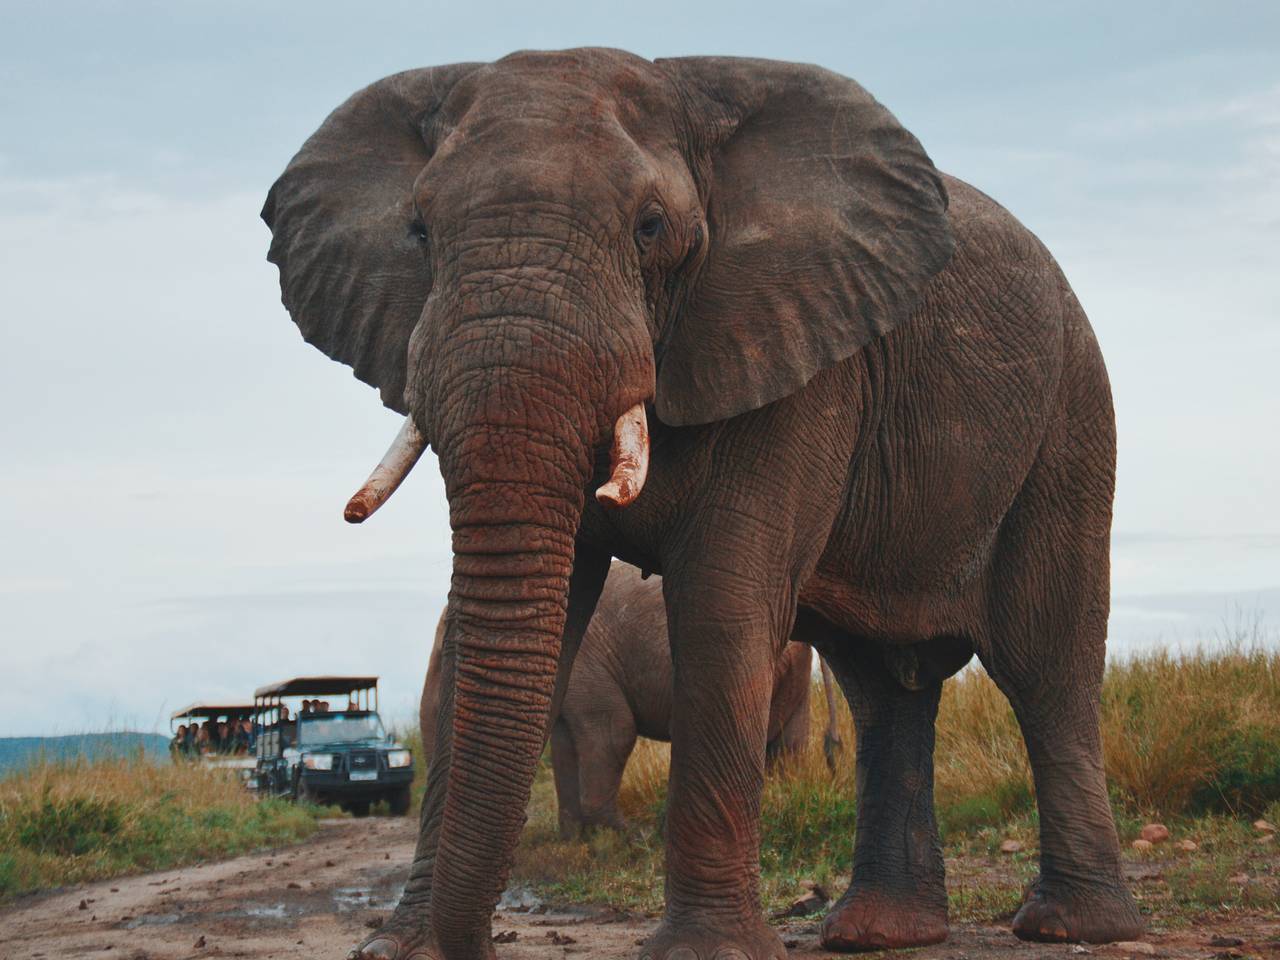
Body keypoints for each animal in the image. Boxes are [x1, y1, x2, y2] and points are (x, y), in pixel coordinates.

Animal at [414, 563, 844, 839]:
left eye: (448, 657)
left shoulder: (587, 661)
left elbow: (612, 734)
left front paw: (625, 837)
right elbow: (565, 746)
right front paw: (575, 840)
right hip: (791, 671)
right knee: (788, 746)